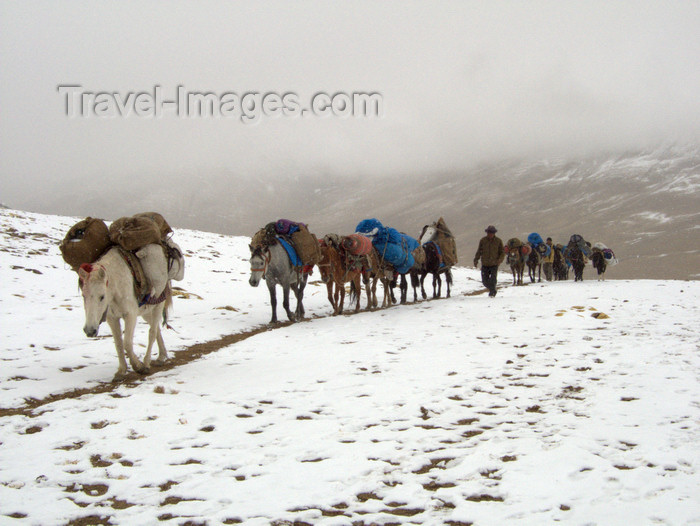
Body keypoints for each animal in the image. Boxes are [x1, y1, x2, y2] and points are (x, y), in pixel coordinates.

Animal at [78, 245, 172, 382]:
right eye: (83, 296)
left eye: (102, 296)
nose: (90, 331)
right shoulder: (112, 318)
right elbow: (118, 343)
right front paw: (121, 371)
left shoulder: (130, 315)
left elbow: (127, 342)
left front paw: (138, 366)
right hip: (145, 311)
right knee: (156, 329)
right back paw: (161, 356)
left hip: (158, 305)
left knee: (152, 332)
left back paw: (147, 362)